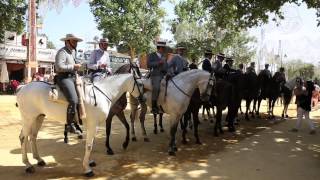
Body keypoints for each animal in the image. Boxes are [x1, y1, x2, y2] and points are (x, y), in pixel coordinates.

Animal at [15, 73, 143, 177]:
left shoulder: (91, 125)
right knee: (23, 138)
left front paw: (89, 162)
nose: (142, 99)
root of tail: (23, 87)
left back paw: (39, 160)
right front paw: (87, 169)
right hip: (28, 119)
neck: (102, 93)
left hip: (38, 117)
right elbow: (89, 145)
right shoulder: (93, 124)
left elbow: (89, 144)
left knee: (32, 136)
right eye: (141, 84)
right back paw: (28, 165)